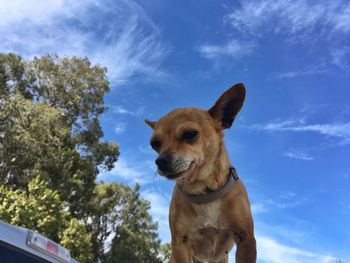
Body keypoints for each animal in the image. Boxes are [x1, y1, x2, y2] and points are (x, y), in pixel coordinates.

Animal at [145, 84, 258, 263]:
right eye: (155, 144)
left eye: (189, 134)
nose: (160, 161)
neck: (204, 191)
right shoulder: (180, 244)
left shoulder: (246, 240)